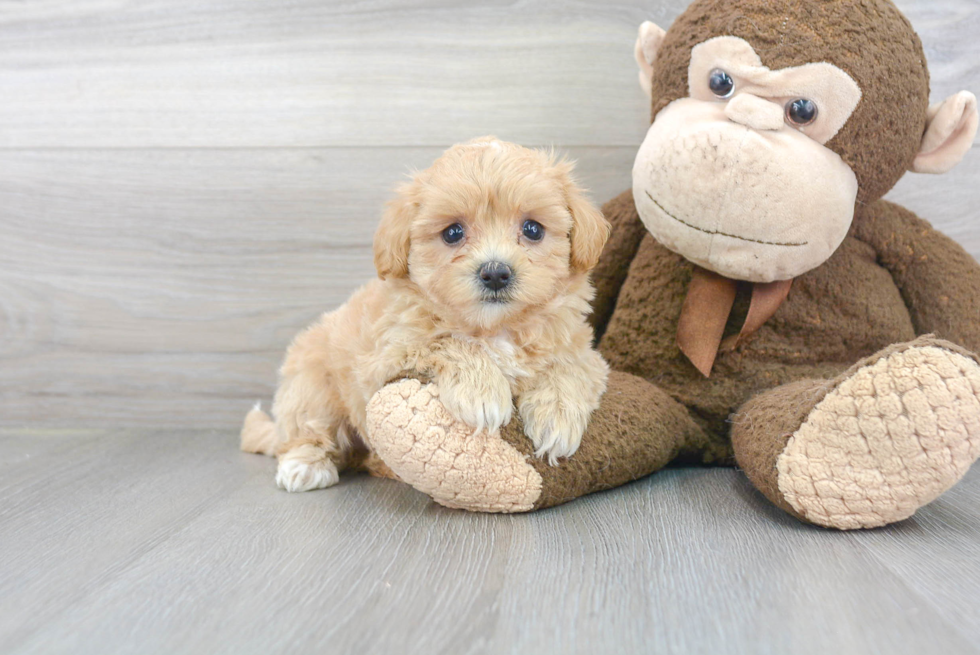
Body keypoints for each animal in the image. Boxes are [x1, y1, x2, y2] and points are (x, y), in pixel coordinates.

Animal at [241, 140, 608, 498]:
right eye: (452, 233)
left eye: (533, 229)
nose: (495, 273)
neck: (493, 328)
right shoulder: (386, 354)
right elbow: (447, 341)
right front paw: (482, 393)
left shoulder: (582, 350)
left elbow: (570, 366)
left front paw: (557, 418)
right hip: (311, 386)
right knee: (306, 431)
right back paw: (304, 465)